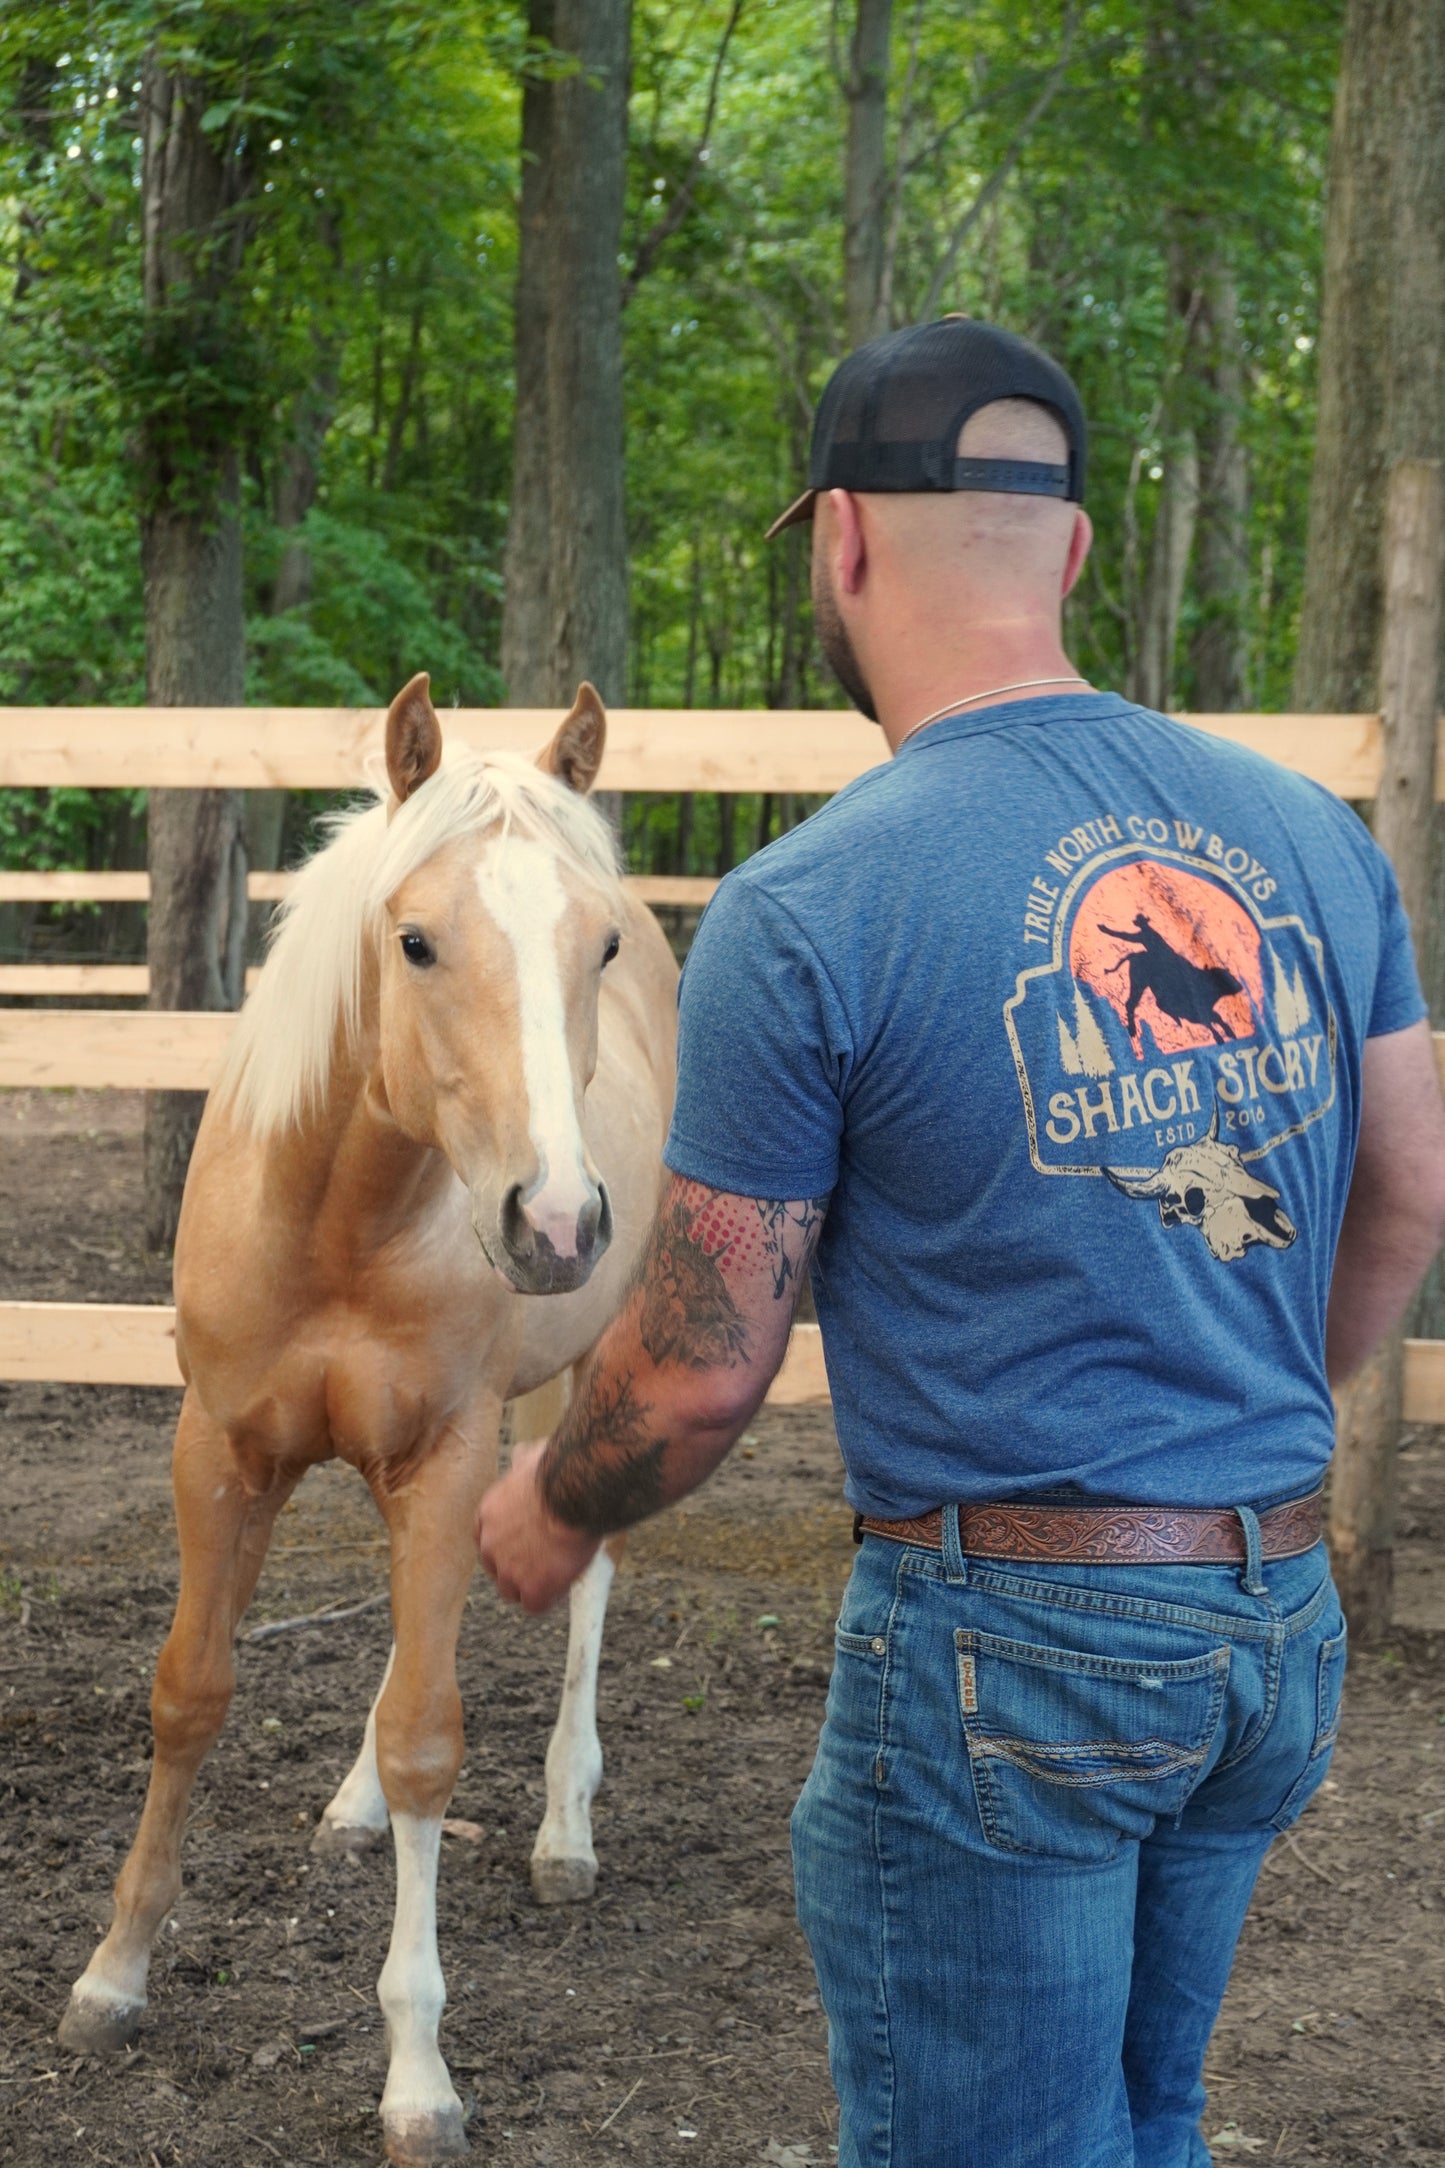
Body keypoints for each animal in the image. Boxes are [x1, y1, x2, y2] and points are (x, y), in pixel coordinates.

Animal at [1098, 913, 1248, 1047]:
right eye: (1224, 977)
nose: (1240, 987)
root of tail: (1134, 955)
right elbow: (1209, 1021)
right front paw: (1221, 1037)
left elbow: (1215, 1019)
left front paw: (1228, 1033)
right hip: (1139, 982)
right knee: (1131, 1003)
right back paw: (1133, 1030)